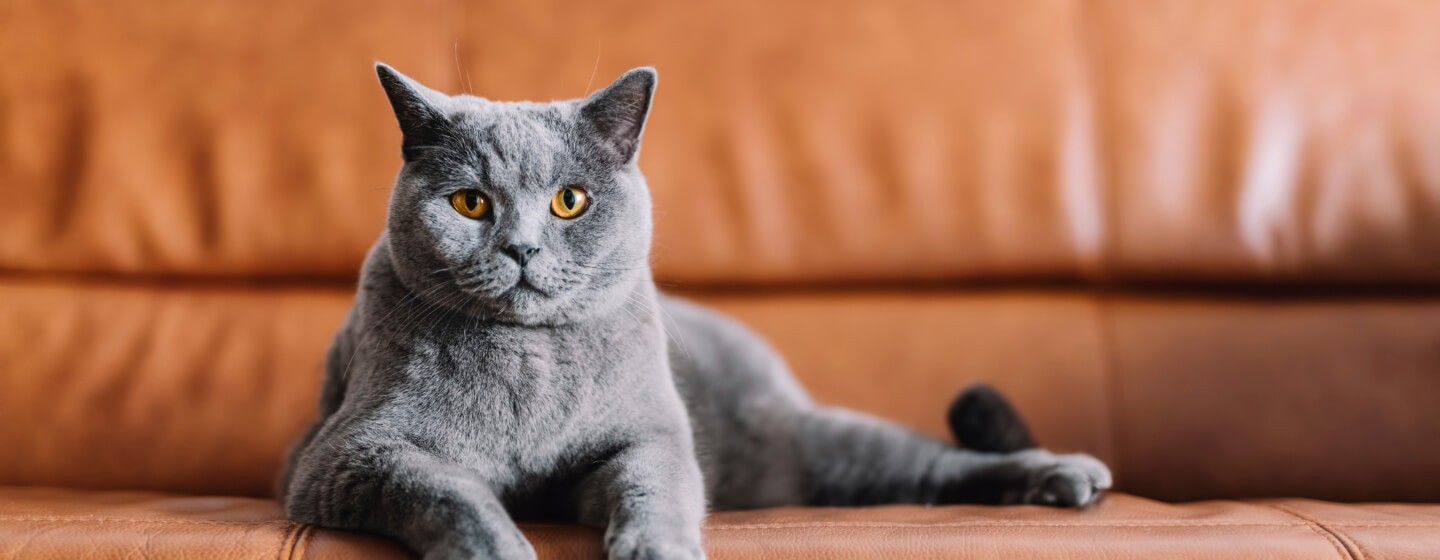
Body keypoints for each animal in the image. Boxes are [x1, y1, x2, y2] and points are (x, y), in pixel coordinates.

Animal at [280, 63, 1111, 558]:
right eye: (471, 204)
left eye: (570, 201)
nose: (521, 248)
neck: (532, 362)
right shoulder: (349, 453)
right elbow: (447, 489)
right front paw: (502, 546)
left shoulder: (646, 432)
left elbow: (657, 480)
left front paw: (657, 548)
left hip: (816, 442)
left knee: (934, 463)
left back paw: (1065, 476)